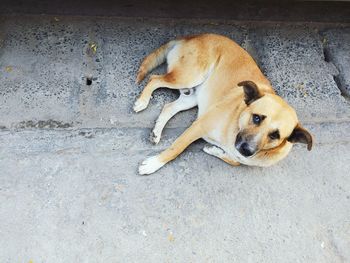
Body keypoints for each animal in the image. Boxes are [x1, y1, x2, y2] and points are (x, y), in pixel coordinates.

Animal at [133, 34, 314, 176]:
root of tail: (192, 36)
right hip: (189, 76)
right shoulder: (198, 127)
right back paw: (142, 101)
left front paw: (214, 150)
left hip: (192, 96)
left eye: (275, 135)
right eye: (256, 118)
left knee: (168, 107)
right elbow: (175, 148)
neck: (237, 121)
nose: (246, 150)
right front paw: (153, 164)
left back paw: (156, 131)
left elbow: (235, 161)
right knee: (155, 79)